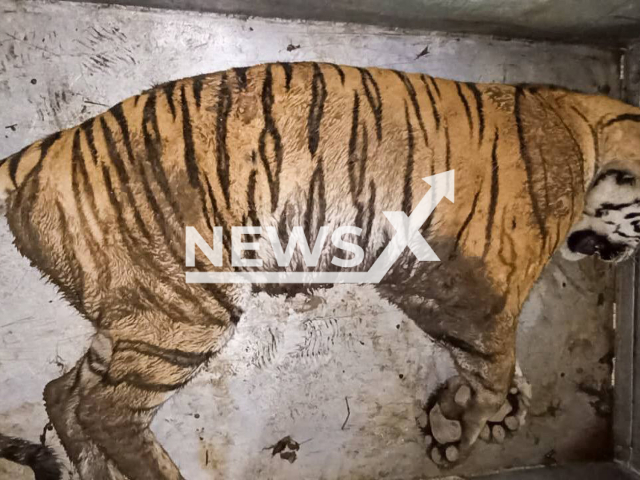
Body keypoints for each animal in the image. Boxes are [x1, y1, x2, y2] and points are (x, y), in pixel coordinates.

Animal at [0, 61, 636, 480]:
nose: (623, 256)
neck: (587, 132)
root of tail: (40, 150)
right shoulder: (477, 286)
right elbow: (495, 367)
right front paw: (466, 423)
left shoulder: (431, 286)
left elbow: (493, 370)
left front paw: (482, 412)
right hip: (188, 307)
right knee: (106, 411)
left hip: (134, 312)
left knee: (65, 393)